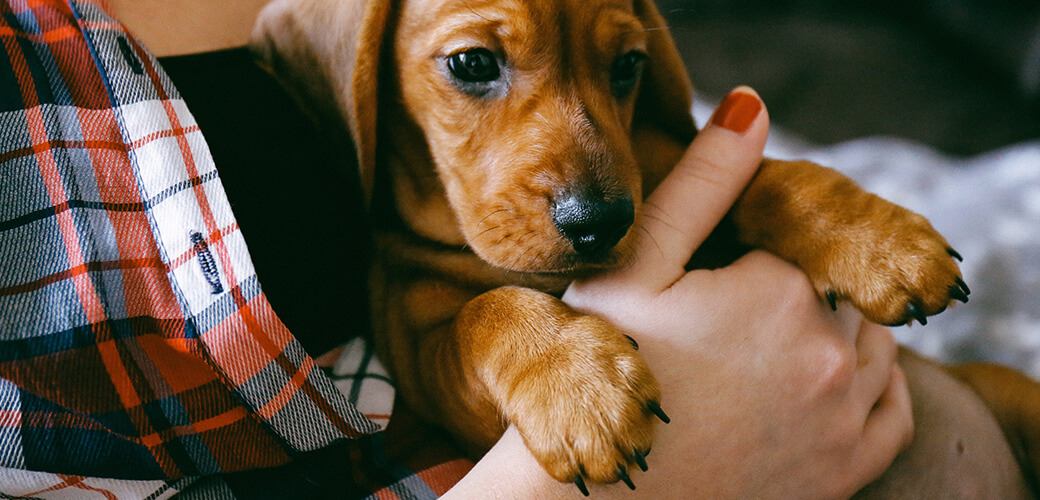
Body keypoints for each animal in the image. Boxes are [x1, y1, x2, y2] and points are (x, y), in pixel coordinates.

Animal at [251, 0, 1040, 492]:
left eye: (628, 65)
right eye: (472, 64)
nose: (600, 221)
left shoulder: (665, 171)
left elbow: (772, 177)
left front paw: (878, 240)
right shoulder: (425, 371)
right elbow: (487, 312)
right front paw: (578, 385)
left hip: (1007, 390)